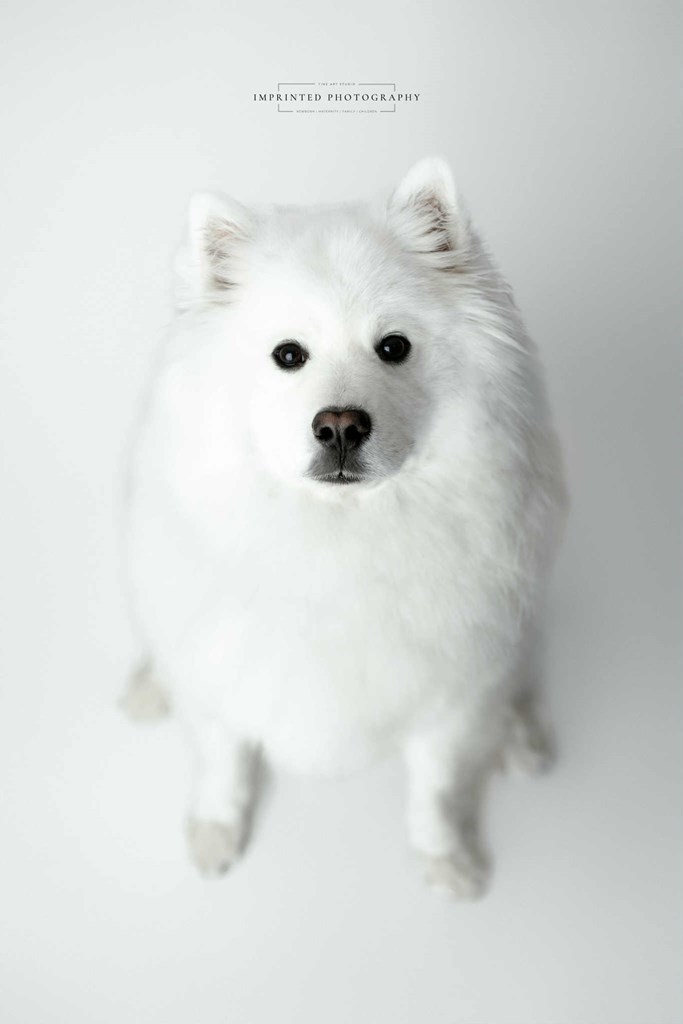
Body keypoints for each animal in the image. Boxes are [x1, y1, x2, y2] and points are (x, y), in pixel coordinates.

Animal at [121, 158, 567, 898]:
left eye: (393, 347)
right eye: (287, 355)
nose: (339, 425)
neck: (339, 537)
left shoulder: (450, 691)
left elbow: (435, 787)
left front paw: (446, 860)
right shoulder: (221, 670)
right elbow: (222, 763)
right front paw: (214, 832)